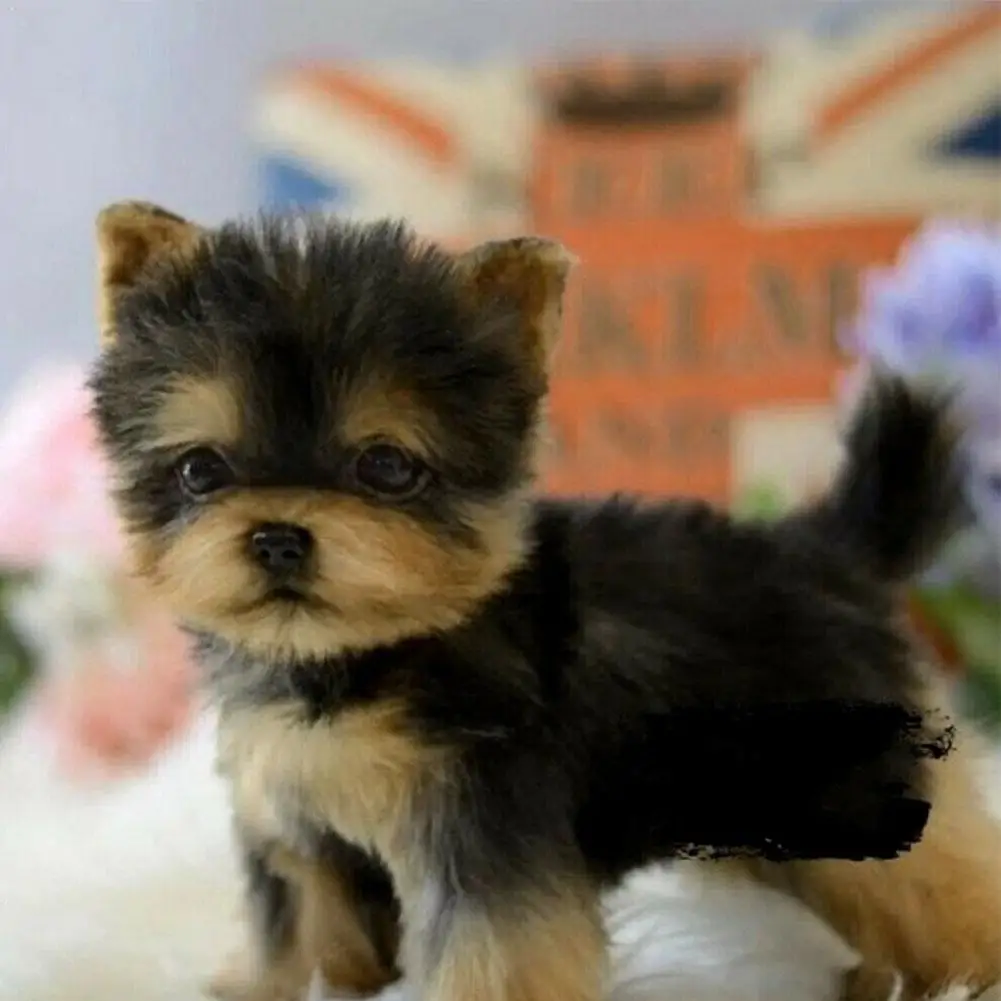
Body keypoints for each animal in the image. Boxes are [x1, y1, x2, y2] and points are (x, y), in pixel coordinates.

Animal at [90, 203, 996, 1001]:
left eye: (385, 466)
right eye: (200, 469)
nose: (279, 535)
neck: (362, 655)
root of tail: (828, 551)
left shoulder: (482, 825)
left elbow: (495, 950)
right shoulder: (294, 820)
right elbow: (297, 924)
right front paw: (269, 980)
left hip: (851, 783)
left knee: (934, 887)